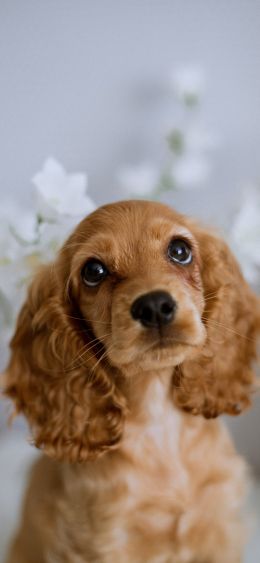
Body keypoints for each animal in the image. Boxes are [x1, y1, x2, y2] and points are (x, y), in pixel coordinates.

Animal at [4, 202, 260, 563]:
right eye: (93, 271)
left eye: (180, 250)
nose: (154, 306)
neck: (159, 423)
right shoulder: (104, 540)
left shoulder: (218, 525)